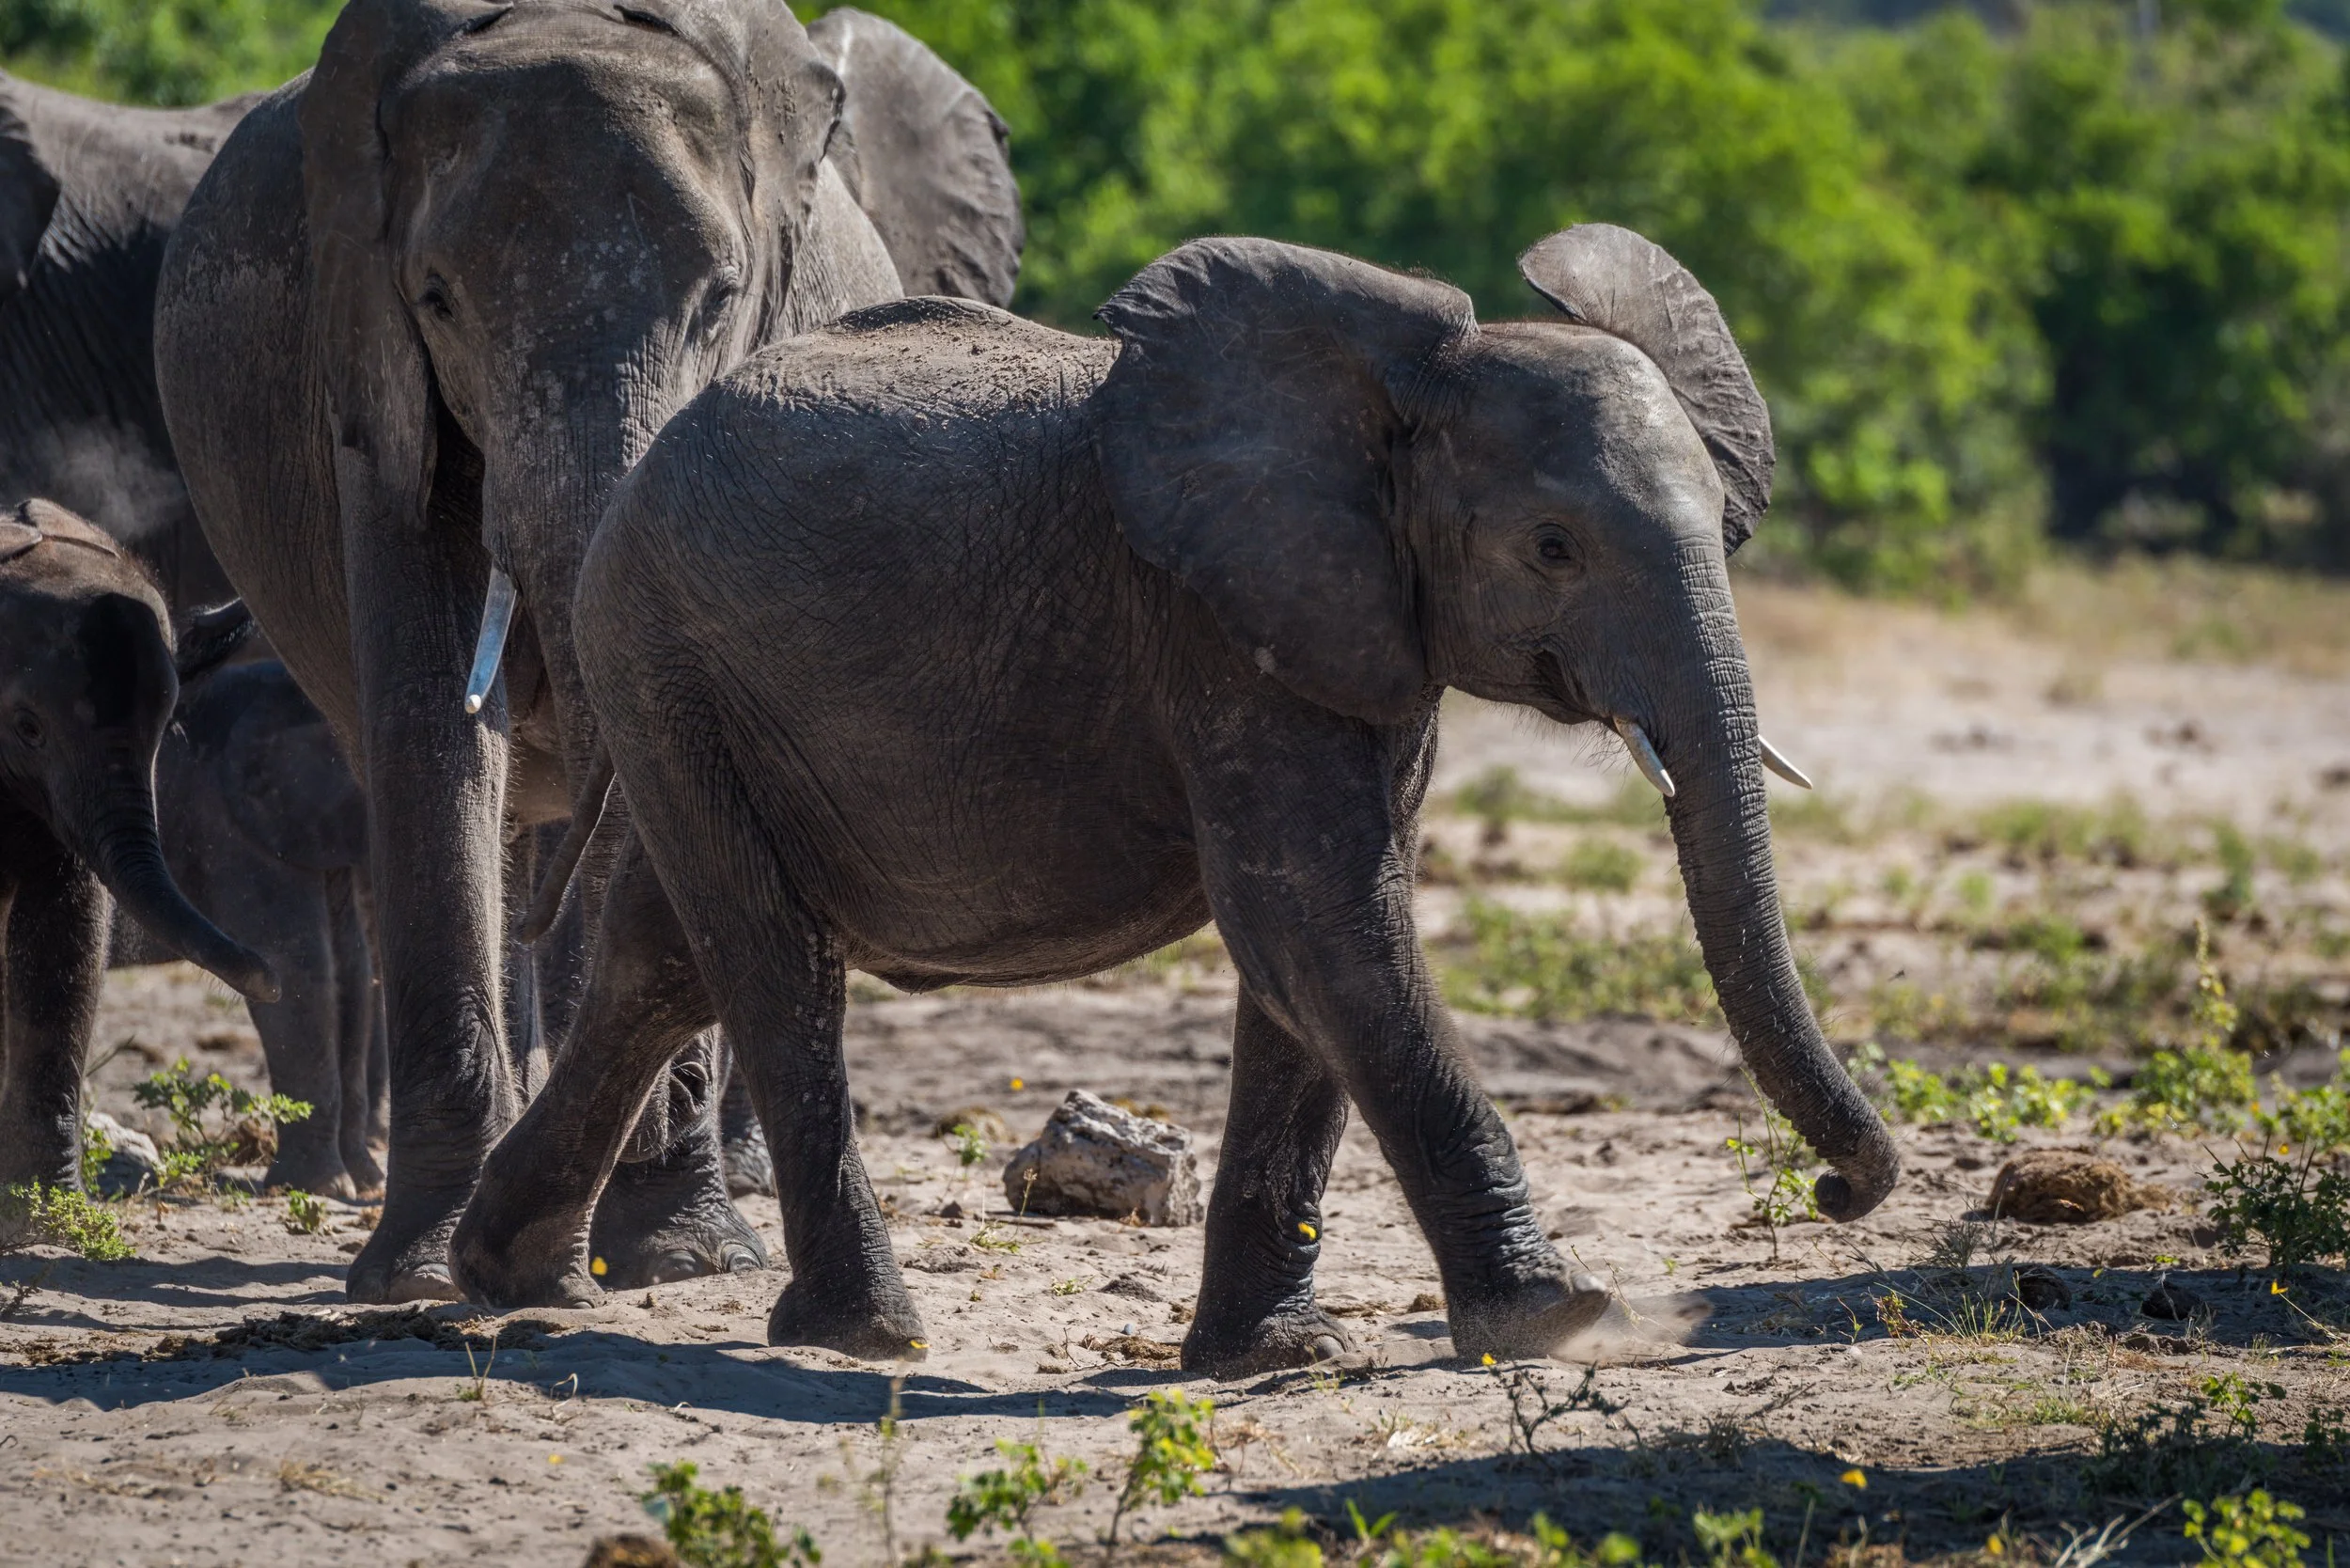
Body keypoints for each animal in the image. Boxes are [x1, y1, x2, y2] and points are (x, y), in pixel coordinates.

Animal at [154, 0, 1023, 1303]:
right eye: (437, 299)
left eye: (723, 297)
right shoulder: (368, 372)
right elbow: (429, 724)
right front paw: (424, 1272)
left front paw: (670, 1253)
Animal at [452, 229, 1901, 1374]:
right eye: (1552, 547)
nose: (1838, 1189)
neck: (1398, 386)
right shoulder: (1216, 622)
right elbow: (1321, 927)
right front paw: (1562, 1318)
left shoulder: (1347, 633)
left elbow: (1306, 953)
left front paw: (1271, 1357)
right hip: (663, 651)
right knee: (766, 959)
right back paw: (864, 1337)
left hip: (687, 686)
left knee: (664, 960)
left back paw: (509, 1278)